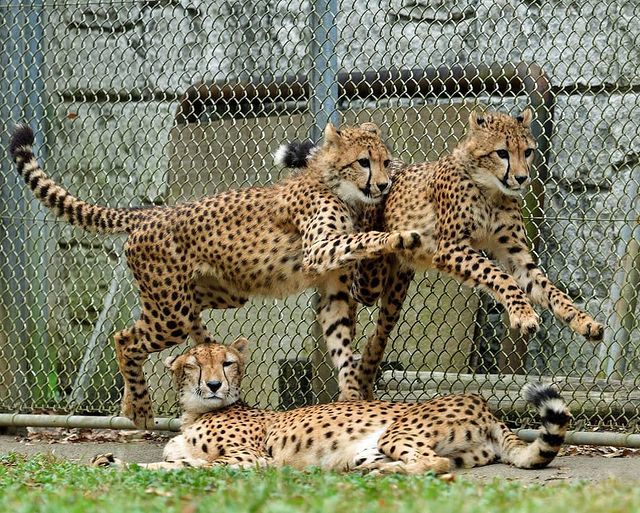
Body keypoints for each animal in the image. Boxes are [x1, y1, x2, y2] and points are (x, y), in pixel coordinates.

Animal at [10, 122, 422, 426]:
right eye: (364, 162)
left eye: (386, 161)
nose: (384, 184)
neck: (338, 186)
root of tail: (154, 212)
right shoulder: (319, 250)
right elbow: (366, 238)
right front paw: (402, 236)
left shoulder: (333, 288)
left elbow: (342, 344)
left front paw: (352, 397)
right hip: (171, 313)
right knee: (124, 338)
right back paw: (140, 408)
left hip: (208, 295)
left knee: (136, 329)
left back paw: (131, 402)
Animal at [92, 338, 572, 474]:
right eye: (194, 364)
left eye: (227, 362)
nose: (212, 384)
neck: (197, 412)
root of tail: (485, 404)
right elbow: (168, 463)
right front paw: (109, 460)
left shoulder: (253, 460)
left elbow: (198, 465)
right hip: (367, 451)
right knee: (437, 463)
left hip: (399, 432)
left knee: (435, 464)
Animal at [278, 108, 600, 398]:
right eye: (502, 153)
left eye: (529, 152)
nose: (521, 178)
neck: (490, 188)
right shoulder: (450, 248)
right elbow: (499, 277)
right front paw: (522, 314)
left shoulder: (516, 256)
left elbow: (549, 290)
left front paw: (583, 321)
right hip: (370, 277)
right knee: (351, 287)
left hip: (397, 287)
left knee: (379, 332)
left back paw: (367, 369)